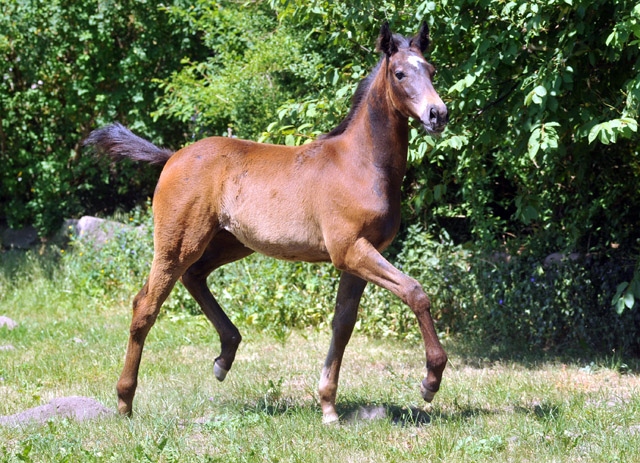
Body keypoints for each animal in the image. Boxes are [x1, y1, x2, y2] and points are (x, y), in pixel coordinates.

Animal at [85, 20, 450, 424]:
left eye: (432, 70)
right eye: (400, 73)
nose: (438, 114)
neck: (361, 163)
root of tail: (172, 156)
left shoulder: (356, 258)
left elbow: (343, 323)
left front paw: (328, 404)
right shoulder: (350, 251)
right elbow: (415, 292)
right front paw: (430, 381)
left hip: (230, 242)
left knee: (194, 277)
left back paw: (225, 356)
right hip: (177, 243)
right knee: (145, 306)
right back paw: (125, 400)